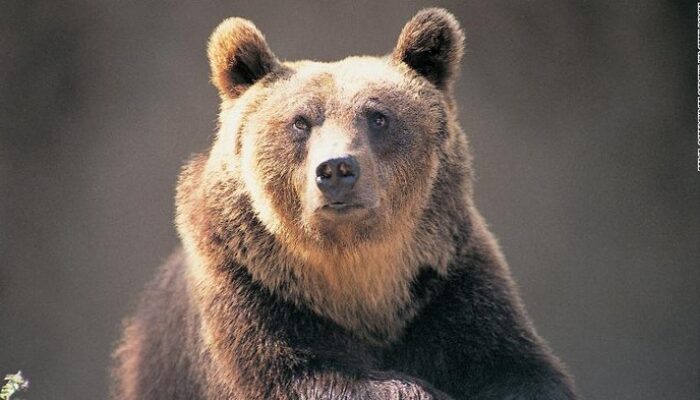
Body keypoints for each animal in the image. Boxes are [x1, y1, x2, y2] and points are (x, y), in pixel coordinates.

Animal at [111, 8, 577, 400]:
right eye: (300, 121)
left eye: (378, 116)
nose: (336, 168)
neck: (354, 275)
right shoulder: (249, 288)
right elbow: (302, 374)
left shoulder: (449, 287)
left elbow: (514, 366)